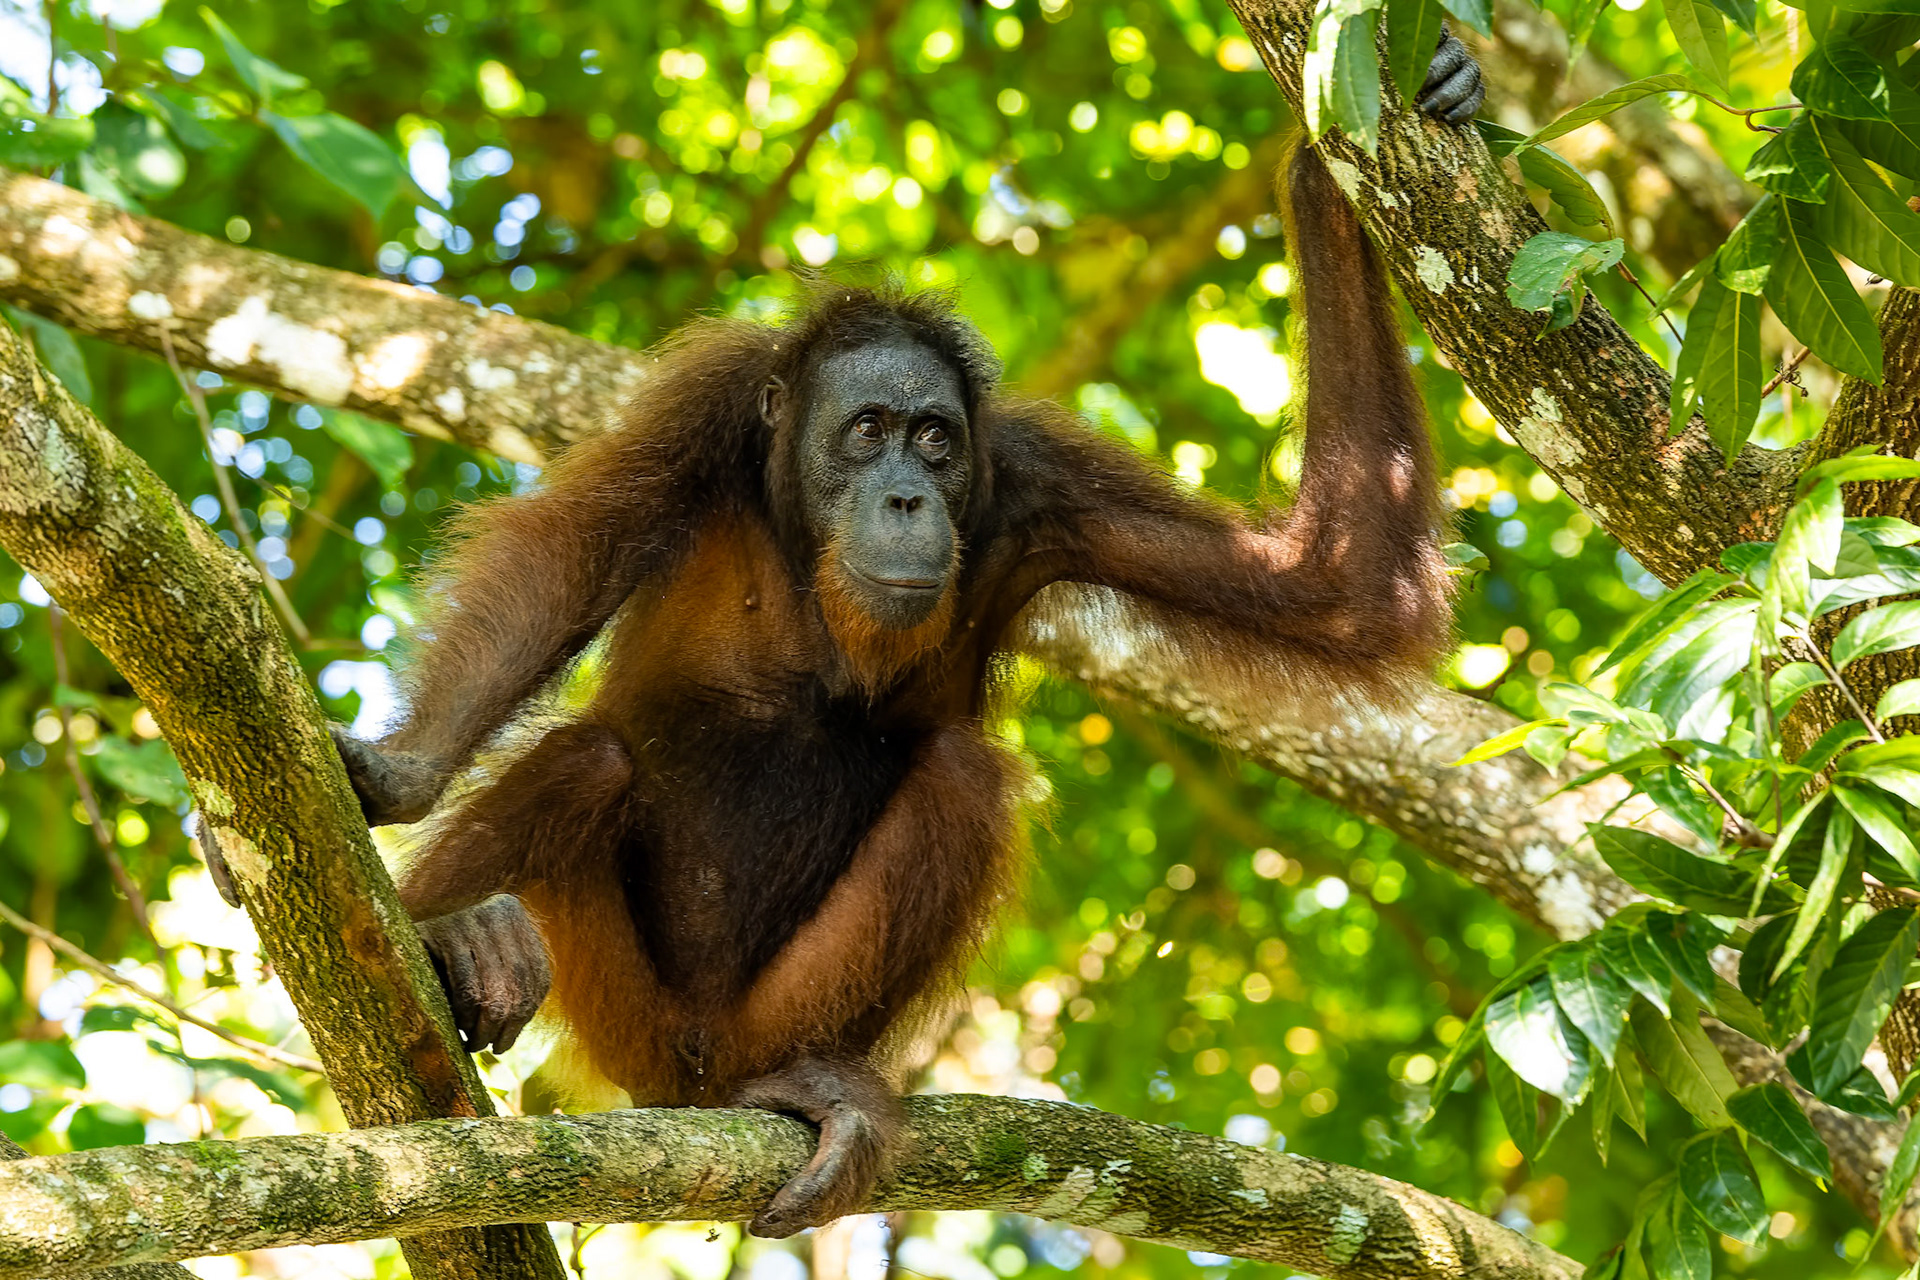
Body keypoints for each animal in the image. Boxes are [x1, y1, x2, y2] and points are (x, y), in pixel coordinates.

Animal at [248, 40, 1482, 1238]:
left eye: (934, 438)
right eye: (868, 429)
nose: (904, 496)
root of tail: (690, 1080)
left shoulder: (1036, 481)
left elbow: (1337, 583)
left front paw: (1325, 171)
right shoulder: (710, 401)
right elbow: (565, 559)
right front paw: (402, 772)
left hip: (759, 1021)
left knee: (966, 780)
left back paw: (813, 1087)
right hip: (619, 1016)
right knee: (588, 759)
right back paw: (456, 946)